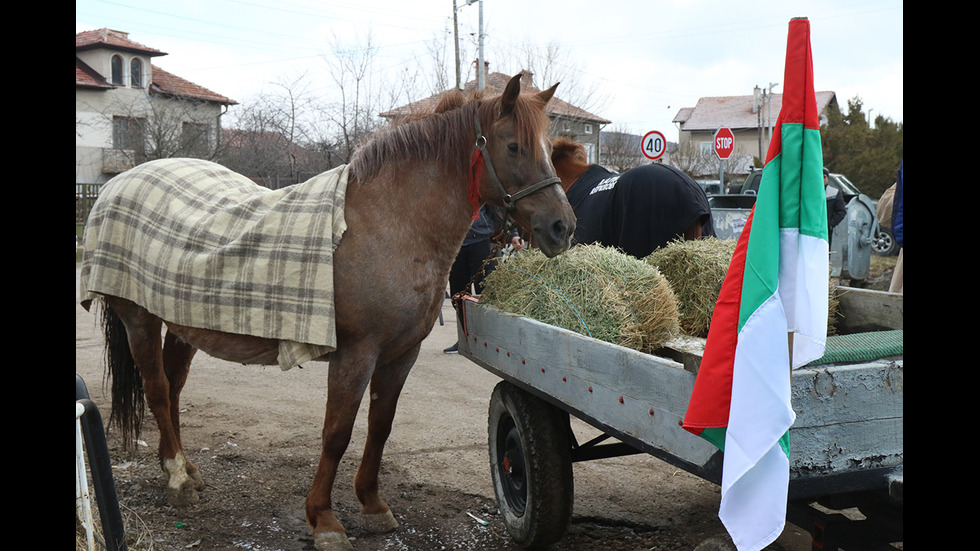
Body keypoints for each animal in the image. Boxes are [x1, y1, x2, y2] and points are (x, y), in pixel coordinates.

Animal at [82, 74, 576, 551]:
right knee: (157, 390)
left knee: (174, 387)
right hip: (139, 318)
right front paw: (324, 519)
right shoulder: (355, 355)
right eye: (513, 146)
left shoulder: (402, 354)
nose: (562, 227)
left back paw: (186, 468)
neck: (387, 226)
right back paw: (177, 479)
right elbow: (337, 433)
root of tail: (118, 183)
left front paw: (373, 505)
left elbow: (380, 426)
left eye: (549, 148)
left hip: (184, 324)